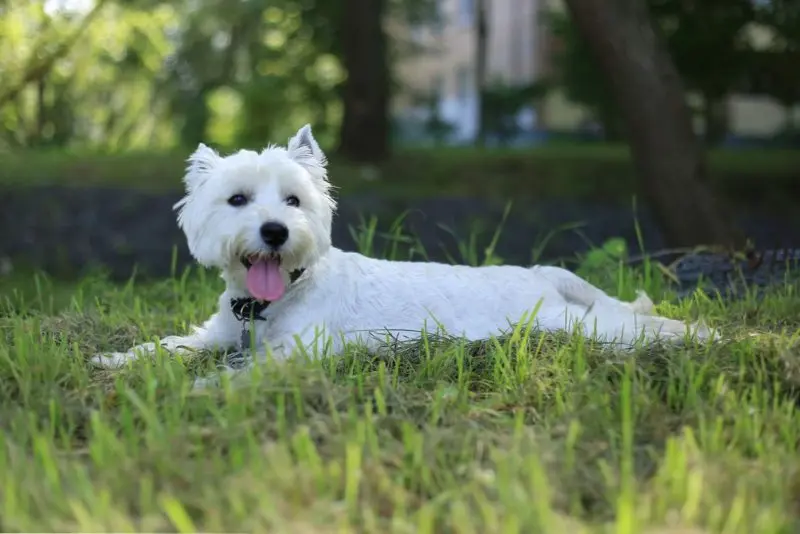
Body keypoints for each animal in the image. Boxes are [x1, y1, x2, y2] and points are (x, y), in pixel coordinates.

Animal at [94, 124, 720, 372]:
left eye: (293, 200)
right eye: (238, 199)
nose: (274, 232)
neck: (272, 303)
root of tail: (542, 273)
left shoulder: (302, 351)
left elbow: (245, 372)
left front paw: (210, 388)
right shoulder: (219, 332)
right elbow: (171, 345)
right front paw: (114, 359)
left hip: (573, 324)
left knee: (646, 327)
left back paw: (714, 334)